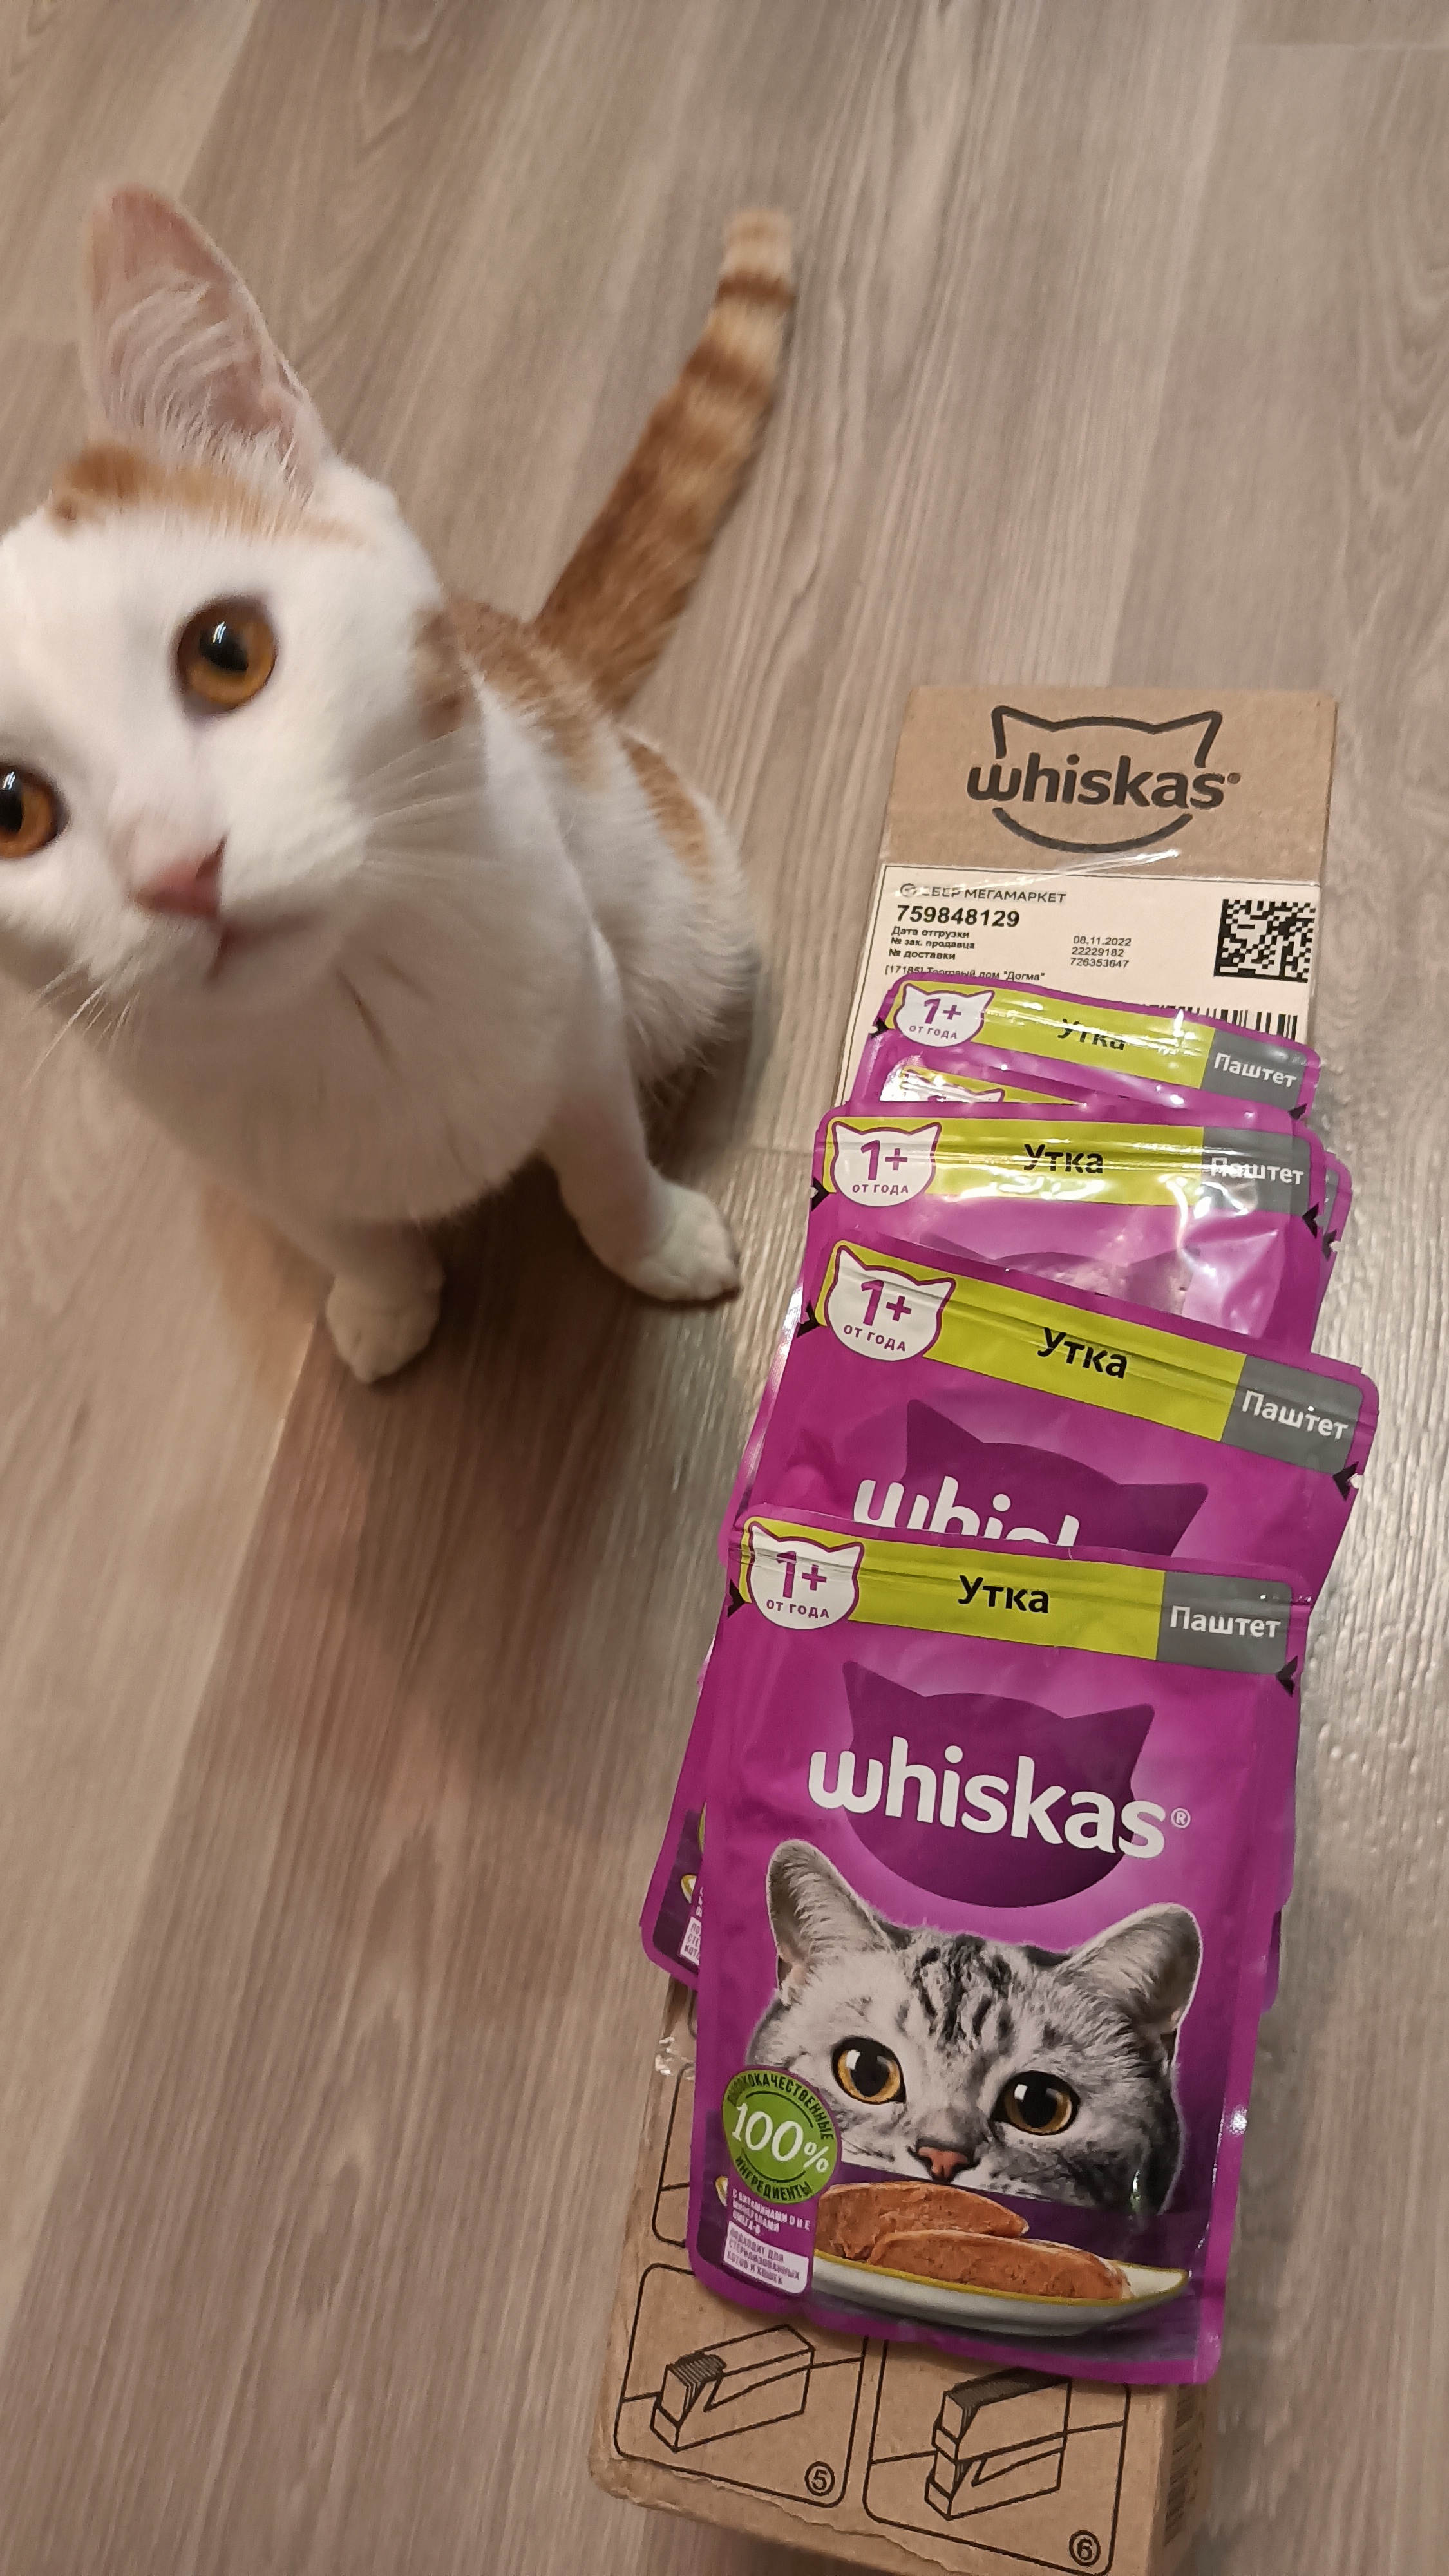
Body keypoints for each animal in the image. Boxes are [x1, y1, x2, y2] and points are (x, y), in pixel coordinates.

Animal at [0, 188, 792, 1377]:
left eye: (227, 651)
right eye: (10, 810)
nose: (178, 867)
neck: (347, 1006)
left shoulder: (582, 1003)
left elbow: (604, 1151)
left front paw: (649, 1238)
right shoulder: (232, 1153)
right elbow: (339, 1231)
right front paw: (384, 1298)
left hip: (681, 915)